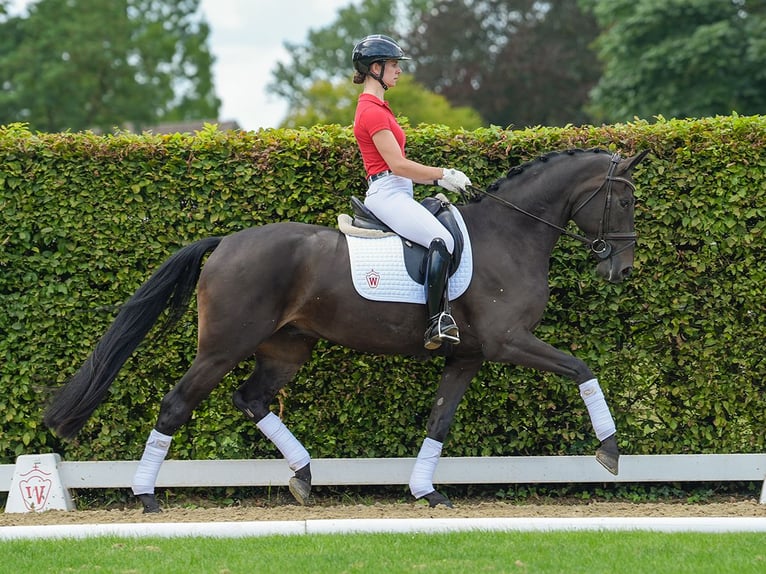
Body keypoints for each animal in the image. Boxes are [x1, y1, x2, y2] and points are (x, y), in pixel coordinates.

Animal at [45, 148, 652, 512]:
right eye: (624, 200)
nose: (620, 270)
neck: (512, 234)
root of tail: (225, 243)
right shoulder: (509, 342)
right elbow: (581, 368)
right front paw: (610, 451)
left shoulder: (468, 356)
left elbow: (440, 419)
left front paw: (426, 491)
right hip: (222, 347)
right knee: (176, 405)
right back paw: (146, 496)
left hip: (285, 348)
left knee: (251, 398)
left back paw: (304, 475)